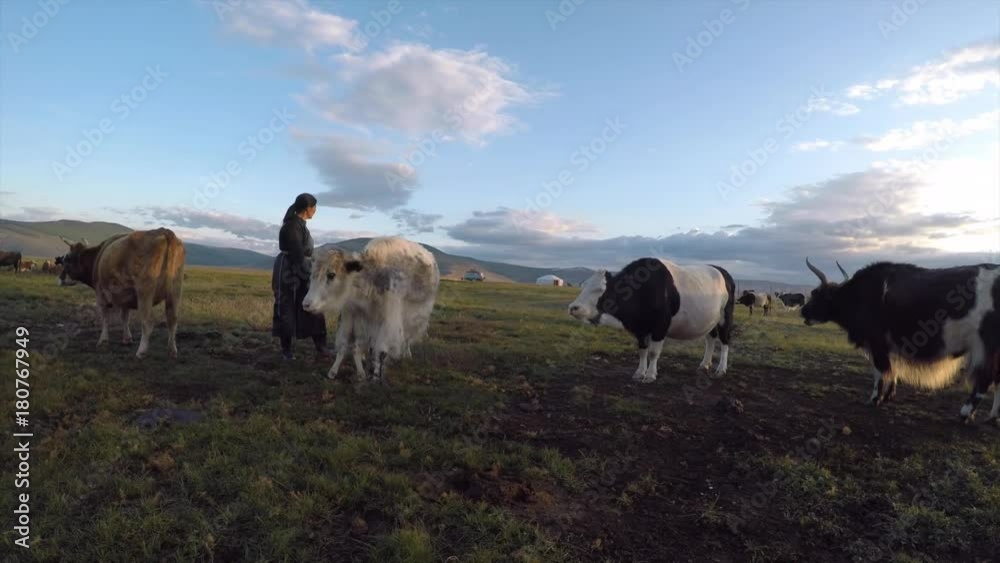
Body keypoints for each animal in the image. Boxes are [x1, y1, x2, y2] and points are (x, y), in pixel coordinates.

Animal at [57, 229, 186, 359]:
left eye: (67, 258)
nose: (60, 278)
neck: (97, 258)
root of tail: (165, 232)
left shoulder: (101, 294)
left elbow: (105, 317)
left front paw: (103, 341)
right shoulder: (125, 297)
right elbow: (124, 317)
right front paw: (127, 338)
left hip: (145, 292)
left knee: (148, 322)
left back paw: (141, 351)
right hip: (175, 289)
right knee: (172, 319)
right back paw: (172, 350)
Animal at [302, 236, 440, 385]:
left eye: (331, 274)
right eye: (312, 274)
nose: (306, 304)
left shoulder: (388, 319)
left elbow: (381, 350)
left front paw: (375, 376)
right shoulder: (354, 314)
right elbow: (348, 344)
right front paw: (334, 371)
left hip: (414, 316)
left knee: (408, 336)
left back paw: (406, 354)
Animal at [568, 257, 736, 382]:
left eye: (600, 289)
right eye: (583, 286)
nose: (573, 307)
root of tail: (722, 271)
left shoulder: (661, 325)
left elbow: (654, 352)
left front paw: (650, 375)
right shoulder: (640, 329)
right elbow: (643, 351)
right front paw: (639, 373)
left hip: (725, 317)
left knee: (725, 341)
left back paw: (721, 369)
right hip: (710, 320)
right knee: (710, 339)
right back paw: (704, 364)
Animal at [800, 258, 1000, 423]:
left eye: (817, 293)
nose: (803, 311)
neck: (857, 294)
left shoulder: (877, 343)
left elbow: (880, 372)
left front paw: (874, 399)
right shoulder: (889, 347)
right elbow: (893, 370)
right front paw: (889, 395)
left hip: (984, 346)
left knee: (985, 379)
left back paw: (965, 413)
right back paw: (992, 417)